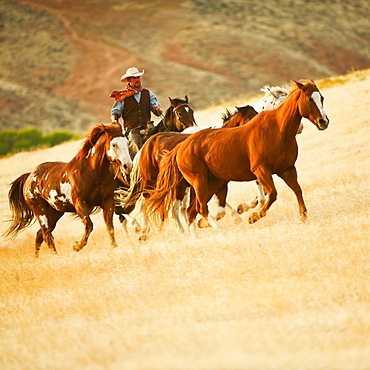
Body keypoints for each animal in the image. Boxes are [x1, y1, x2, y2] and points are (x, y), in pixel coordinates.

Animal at [3, 123, 132, 256]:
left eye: (127, 142)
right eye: (114, 144)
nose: (128, 166)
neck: (93, 173)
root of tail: (29, 176)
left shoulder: (107, 201)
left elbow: (110, 226)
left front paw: (114, 248)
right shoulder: (80, 203)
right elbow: (89, 225)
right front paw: (77, 246)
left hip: (55, 213)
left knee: (40, 235)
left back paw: (37, 258)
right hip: (40, 212)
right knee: (46, 235)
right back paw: (56, 256)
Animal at [144, 81, 330, 231]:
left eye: (321, 97)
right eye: (310, 99)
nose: (323, 122)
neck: (277, 130)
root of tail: (180, 146)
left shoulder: (286, 169)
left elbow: (295, 190)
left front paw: (303, 216)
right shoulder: (260, 170)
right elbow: (270, 195)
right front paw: (252, 215)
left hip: (206, 182)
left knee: (191, 209)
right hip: (195, 183)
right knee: (187, 208)